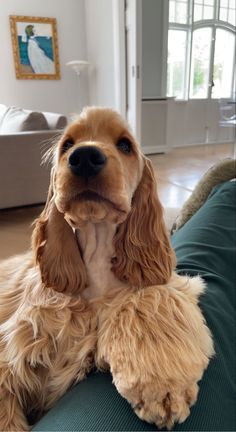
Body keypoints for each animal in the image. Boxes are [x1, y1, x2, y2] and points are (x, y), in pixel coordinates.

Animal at [0, 107, 214, 428]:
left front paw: (163, 389)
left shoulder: (164, 285)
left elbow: (149, 299)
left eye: (125, 145)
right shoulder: (14, 354)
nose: (85, 157)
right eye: (67, 145)